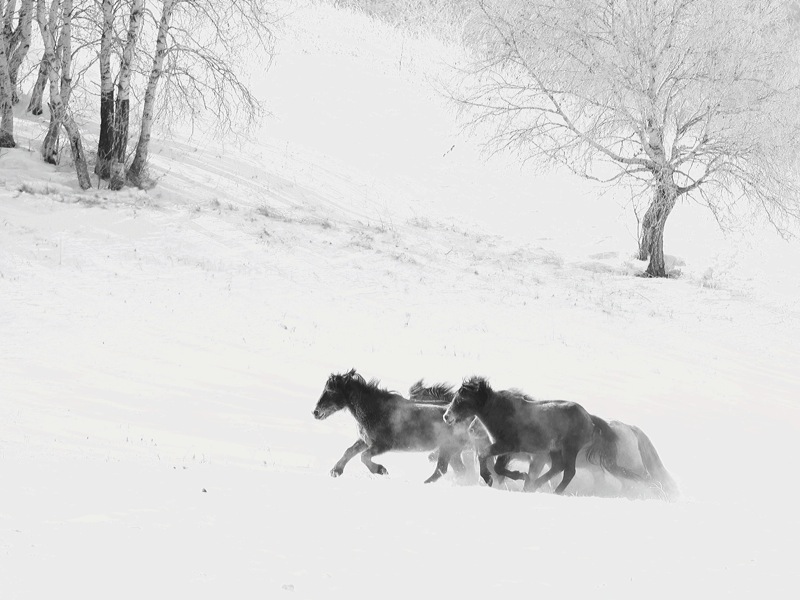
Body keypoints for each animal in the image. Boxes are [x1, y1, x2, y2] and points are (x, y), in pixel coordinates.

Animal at [310, 370, 476, 482]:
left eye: (331, 391)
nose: (315, 412)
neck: (374, 410)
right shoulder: (365, 441)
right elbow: (349, 451)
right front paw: (336, 471)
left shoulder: (383, 445)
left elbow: (364, 457)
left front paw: (381, 470)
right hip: (451, 451)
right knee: (458, 470)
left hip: (449, 449)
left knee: (443, 469)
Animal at [440, 378, 640, 494]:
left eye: (461, 399)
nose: (446, 416)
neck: (503, 412)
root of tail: (589, 417)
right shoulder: (507, 449)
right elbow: (497, 466)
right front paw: (520, 477)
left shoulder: (507, 446)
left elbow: (486, 458)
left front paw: (494, 478)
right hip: (555, 450)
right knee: (558, 467)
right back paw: (534, 485)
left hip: (570, 449)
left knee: (569, 472)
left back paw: (553, 491)